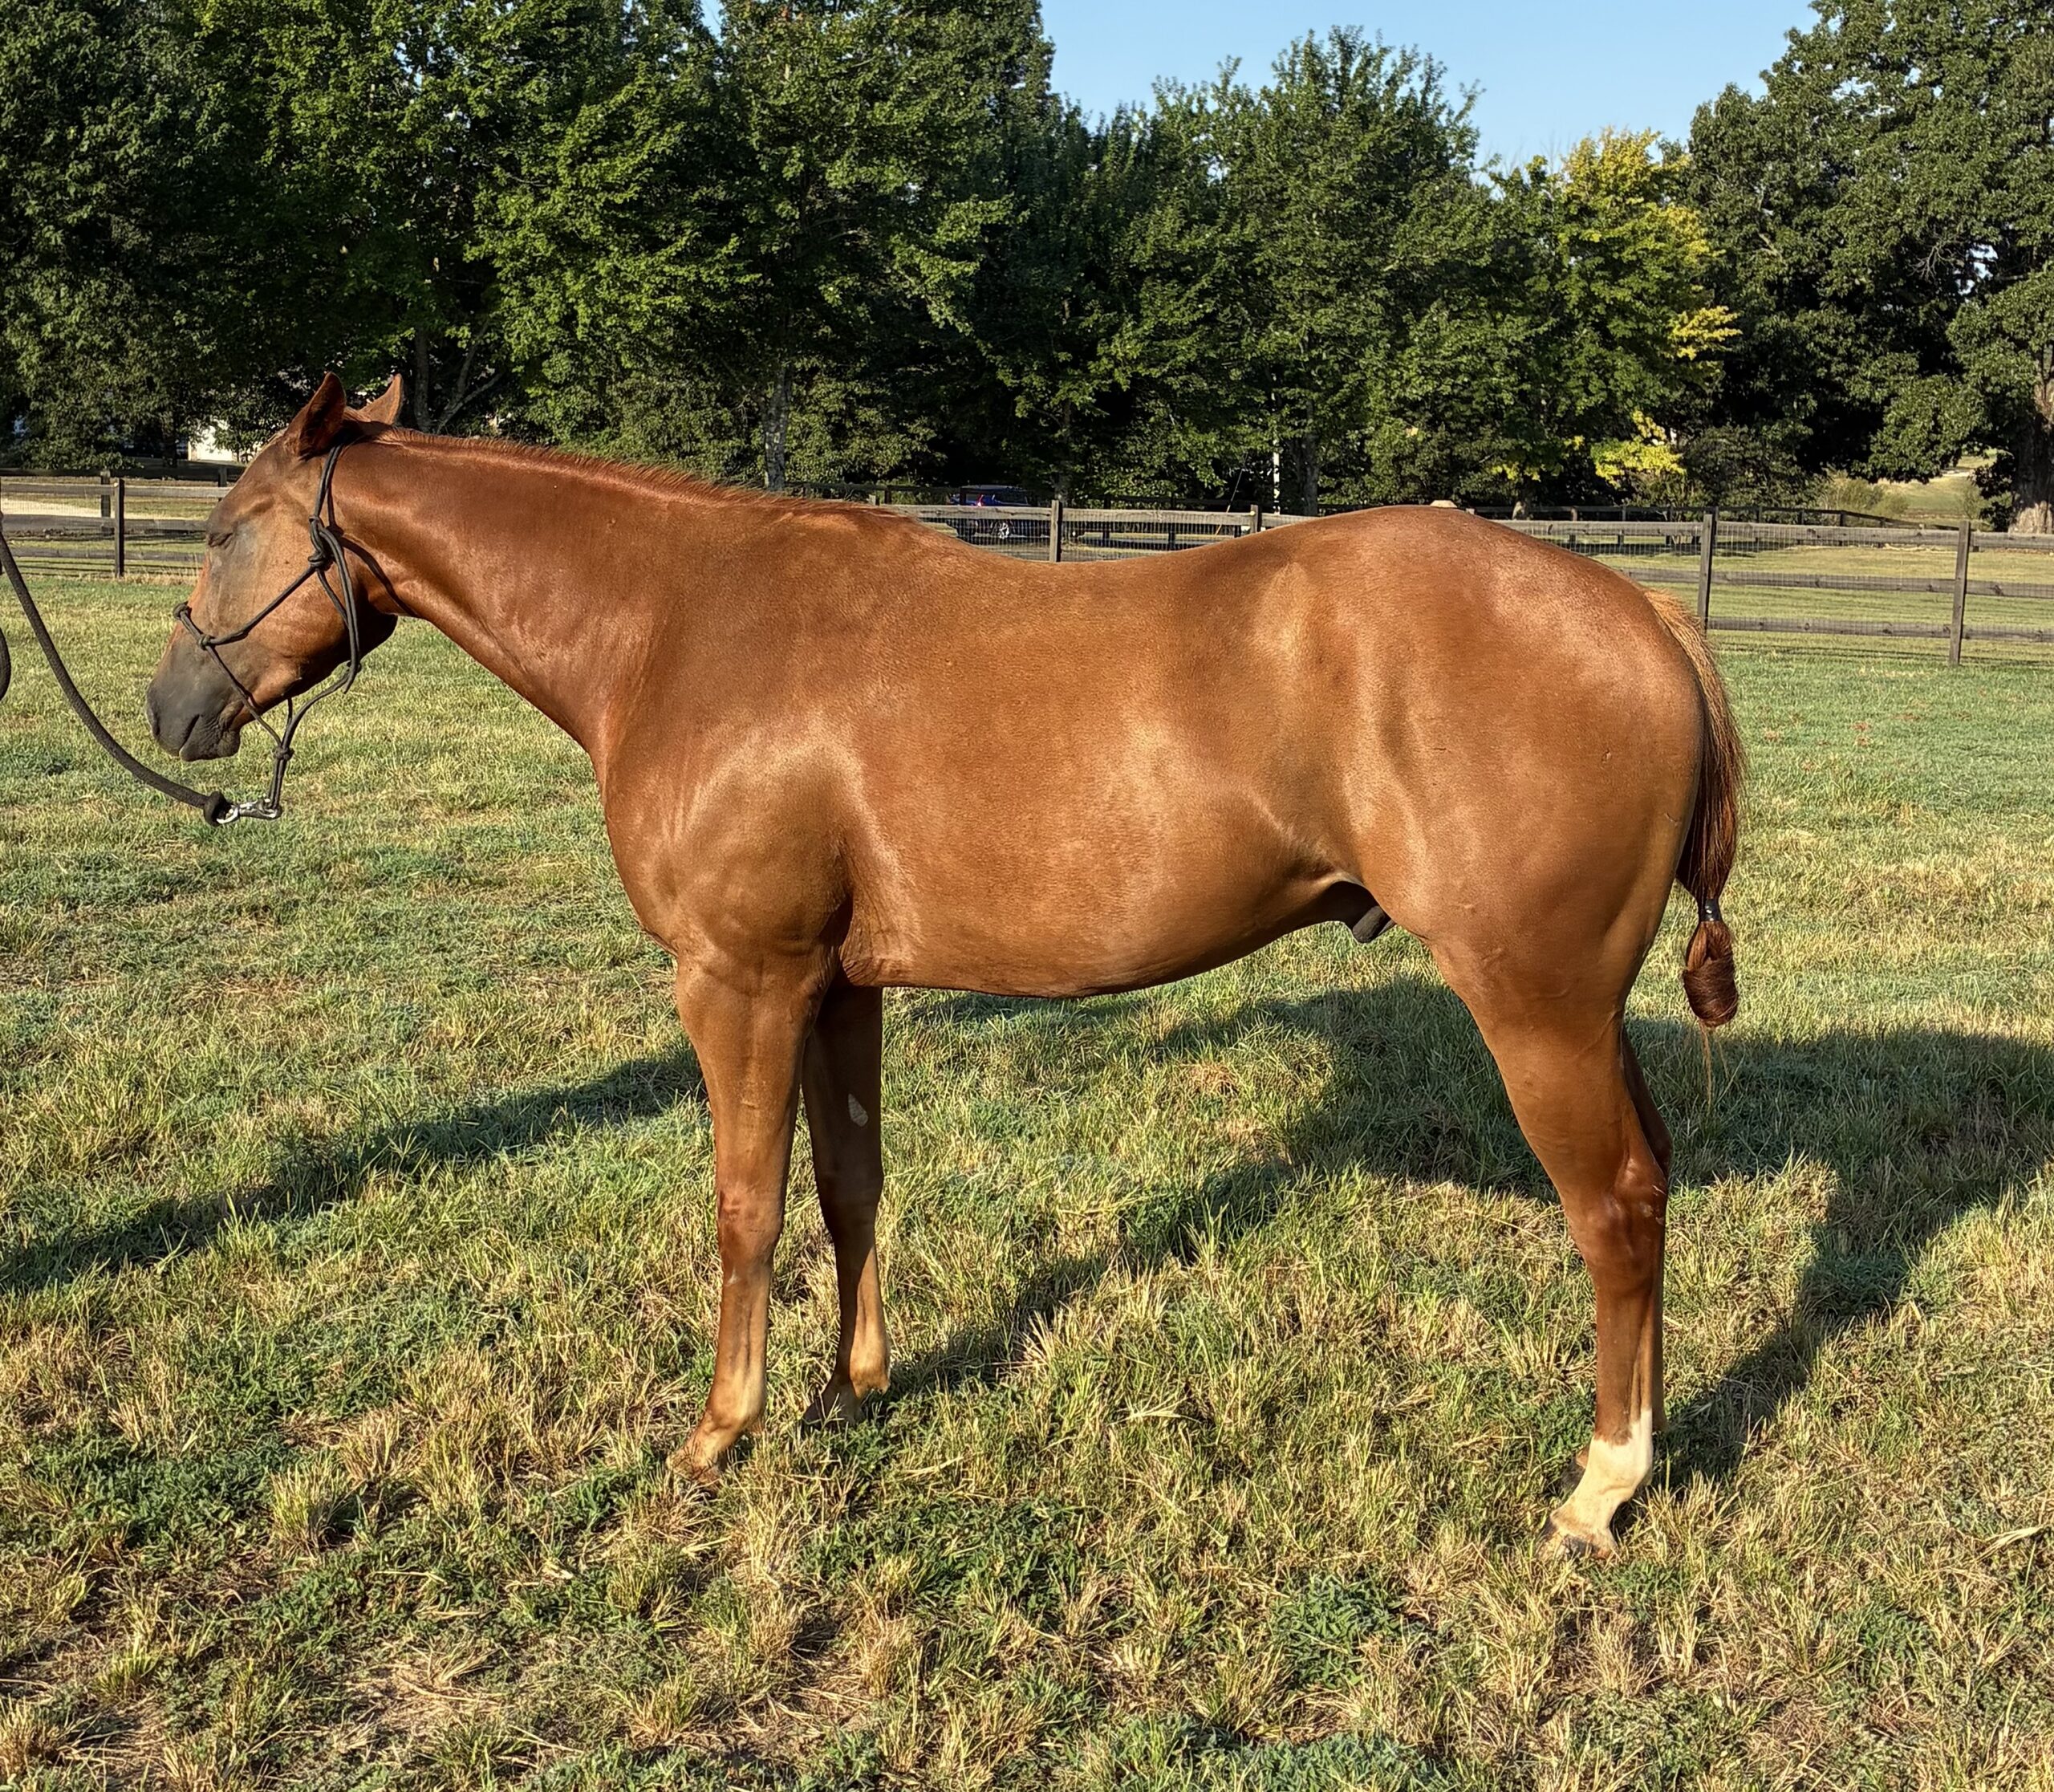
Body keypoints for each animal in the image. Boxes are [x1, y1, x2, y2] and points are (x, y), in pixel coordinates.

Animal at [146, 374, 1741, 1556]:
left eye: (226, 528)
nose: (171, 711)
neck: (678, 621)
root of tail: (1640, 613)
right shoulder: (838, 984)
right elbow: (849, 1184)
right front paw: (853, 1391)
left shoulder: (739, 980)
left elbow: (745, 1205)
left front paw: (718, 1433)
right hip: (1590, 1012)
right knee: (1656, 1183)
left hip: (1535, 1007)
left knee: (1612, 1208)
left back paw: (1597, 1487)